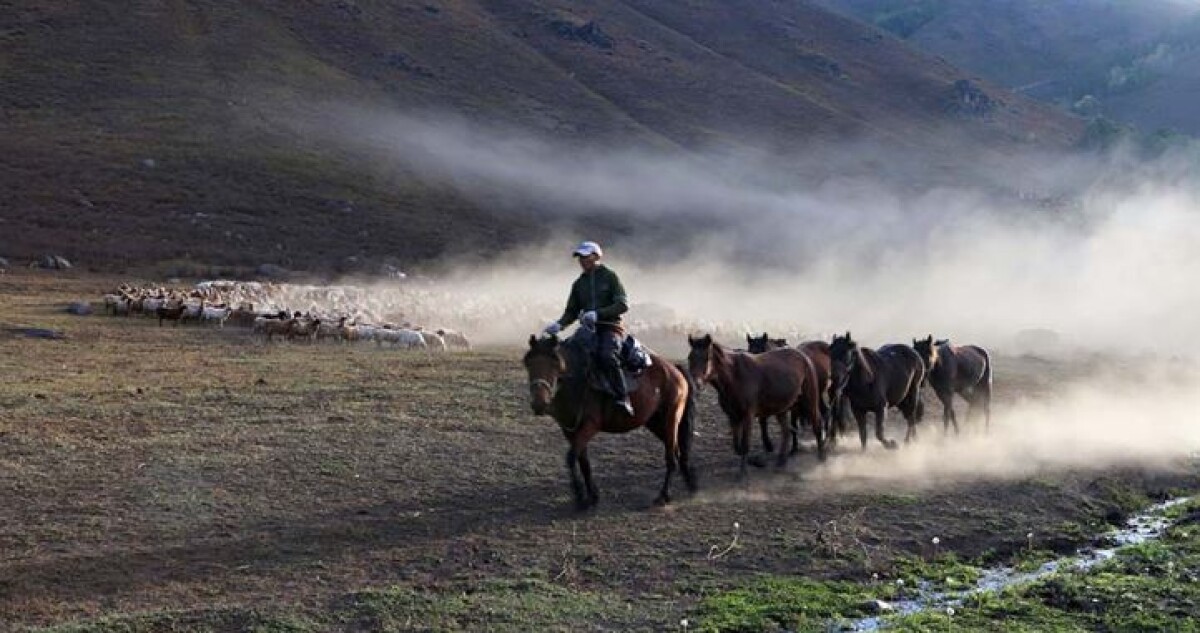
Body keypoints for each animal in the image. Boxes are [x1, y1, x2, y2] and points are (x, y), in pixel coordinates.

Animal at [523, 330, 700, 508]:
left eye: (554, 364)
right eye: (529, 364)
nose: (539, 404)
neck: (577, 381)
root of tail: (674, 369)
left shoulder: (590, 426)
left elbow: (571, 458)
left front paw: (580, 497)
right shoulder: (570, 431)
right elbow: (583, 462)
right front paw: (592, 496)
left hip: (671, 418)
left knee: (671, 456)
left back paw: (664, 495)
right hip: (654, 422)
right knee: (677, 450)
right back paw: (690, 482)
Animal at [686, 330, 825, 474]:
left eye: (707, 358)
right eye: (690, 358)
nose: (695, 384)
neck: (734, 377)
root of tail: (804, 357)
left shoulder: (748, 416)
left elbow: (745, 443)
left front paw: (743, 473)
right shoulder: (733, 416)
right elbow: (737, 446)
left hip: (809, 402)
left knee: (817, 424)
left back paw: (821, 458)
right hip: (782, 408)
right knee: (786, 432)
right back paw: (781, 462)